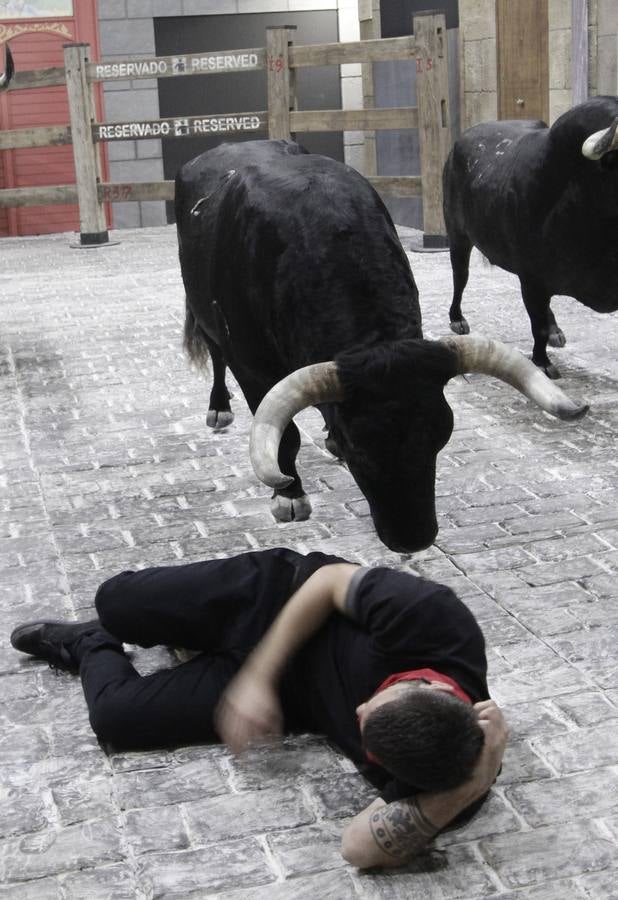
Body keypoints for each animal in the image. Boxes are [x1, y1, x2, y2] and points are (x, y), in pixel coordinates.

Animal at [174, 140, 588, 552]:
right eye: (358, 448)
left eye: (442, 436)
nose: (414, 538)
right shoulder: (252, 366)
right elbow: (285, 437)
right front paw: (289, 495)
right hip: (202, 311)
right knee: (215, 355)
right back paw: (219, 408)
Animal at [442, 96, 616, 378]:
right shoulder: (532, 278)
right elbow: (538, 326)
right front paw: (542, 361)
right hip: (457, 236)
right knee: (460, 277)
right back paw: (457, 318)